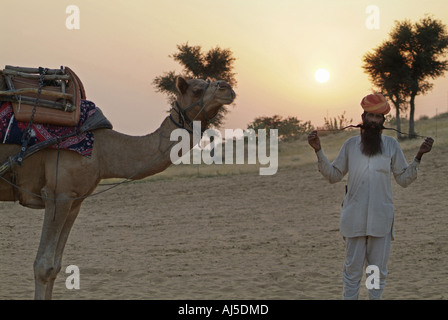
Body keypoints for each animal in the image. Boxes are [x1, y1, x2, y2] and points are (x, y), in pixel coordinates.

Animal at [0, 76, 236, 298]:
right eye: (196, 90)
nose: (227, 88)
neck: (102, 150)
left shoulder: (74, 200)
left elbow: (55, 267)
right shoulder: (58, 194)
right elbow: (43, 266)